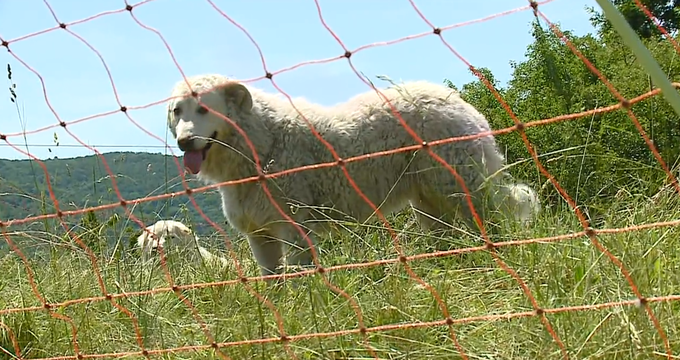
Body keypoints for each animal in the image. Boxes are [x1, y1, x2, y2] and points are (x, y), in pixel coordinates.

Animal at [166, 73, 540, 282]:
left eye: (204, 109)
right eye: (177, 111)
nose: (184, 141)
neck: (259, 142)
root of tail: (456, 100)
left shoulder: (294, 229)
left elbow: (300, 279)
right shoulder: (261, 236)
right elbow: (274, 285)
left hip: (465, 190)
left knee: (493, 224)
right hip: (429, 204)